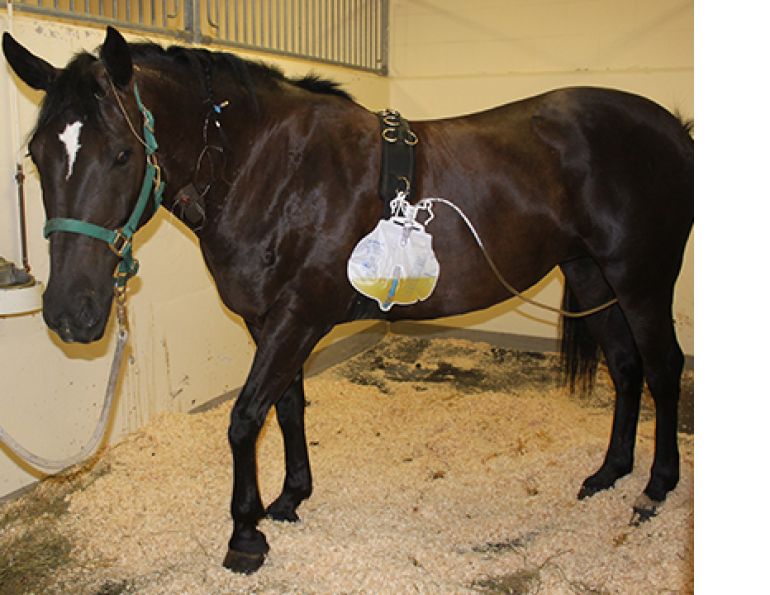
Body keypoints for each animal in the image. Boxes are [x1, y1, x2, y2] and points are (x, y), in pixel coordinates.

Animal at [2, 26, 693, 574]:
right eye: (36, 156)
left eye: (122, 154)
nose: (70, 312)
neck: (270, 167)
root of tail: (673, 129)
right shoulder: (269, 323)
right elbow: (286, 408)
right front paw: (288, 499)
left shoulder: (297, 318)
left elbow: (244, 418)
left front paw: (244, 533)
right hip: (594, 276)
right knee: (626, 368)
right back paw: (609, 472)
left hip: (641, 279)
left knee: (663, 369)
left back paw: (656, 486)